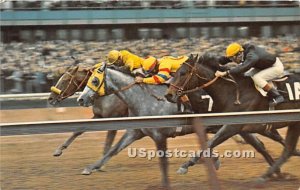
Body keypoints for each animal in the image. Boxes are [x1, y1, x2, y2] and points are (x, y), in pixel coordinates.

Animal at [165, 53, 298, 181]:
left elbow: (211, 142)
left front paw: (185, 165)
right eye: (175, 72)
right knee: (285, 146)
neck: (234, 92)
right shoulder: (239, 126)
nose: (168, 95)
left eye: (183, 73)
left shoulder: (233, 126)